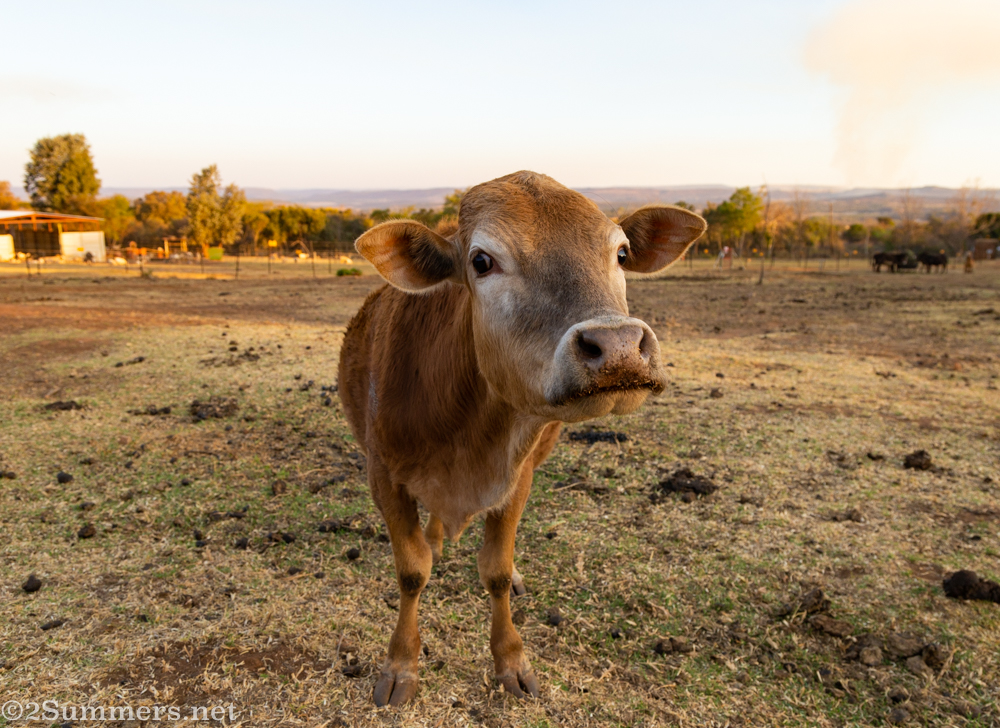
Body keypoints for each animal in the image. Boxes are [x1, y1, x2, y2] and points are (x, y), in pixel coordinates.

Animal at [338, 171, 706, 706]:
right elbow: (412, 571)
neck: (466, 438)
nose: (617, 347)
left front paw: (510, 659)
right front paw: (401, 664)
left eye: (620, 253)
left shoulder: (518, 477)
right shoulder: (383, 474)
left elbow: (495, 570)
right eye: (482, 261)